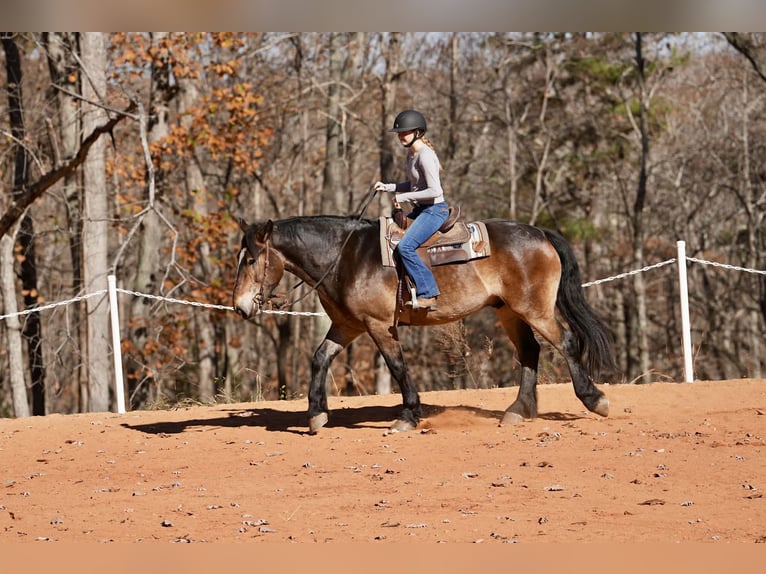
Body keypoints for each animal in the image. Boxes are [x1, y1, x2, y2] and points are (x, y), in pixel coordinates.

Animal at [232, 214, 615, 433]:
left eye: (250, 259)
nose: (239, 307)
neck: (344, 257)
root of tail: (539, 233)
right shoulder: (347, 325)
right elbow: (319, 358)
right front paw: (316, 415)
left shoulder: (378, 325)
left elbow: (397, 366)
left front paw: (408, 415)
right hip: (508, 311)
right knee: (530, 352)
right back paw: (518, 411)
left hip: (534, 309)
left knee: (565, 343)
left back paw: (594, 399)